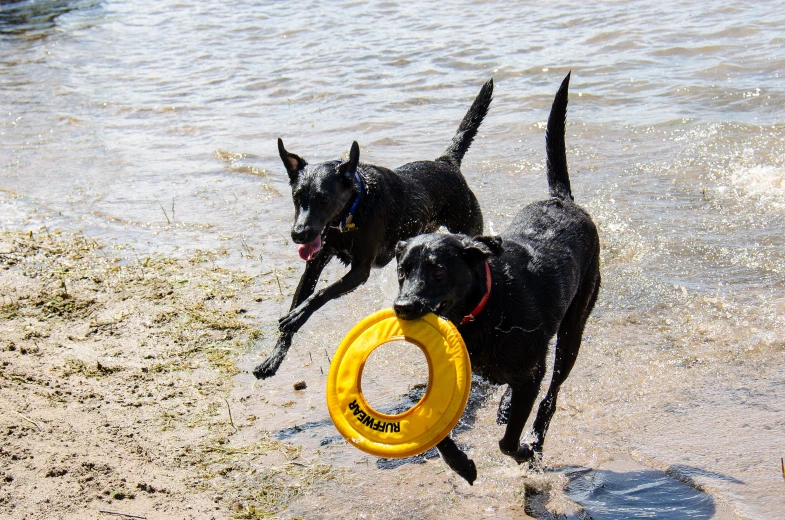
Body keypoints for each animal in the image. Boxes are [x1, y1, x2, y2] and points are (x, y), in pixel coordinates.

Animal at [254, 80, 494, 378]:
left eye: (323, 198)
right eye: (297, 197)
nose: (298, 234)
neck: (351, 214)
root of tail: (445, 162)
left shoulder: (361, 270)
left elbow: (323, 293)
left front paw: (297, 315)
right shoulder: (316, 260)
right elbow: (301, 296)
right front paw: (274, 357)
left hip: (467, 223)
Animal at [392, 72, 600, 484]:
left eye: (438, 269)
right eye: (402, 271)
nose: (403, 306)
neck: (487, 310)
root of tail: (562, 200)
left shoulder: (529, 375)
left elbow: (508, 440)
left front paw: (521, 451)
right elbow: (438, 436)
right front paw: (462, 465)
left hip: (573, 331)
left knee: (551, 394)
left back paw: (535, 440)